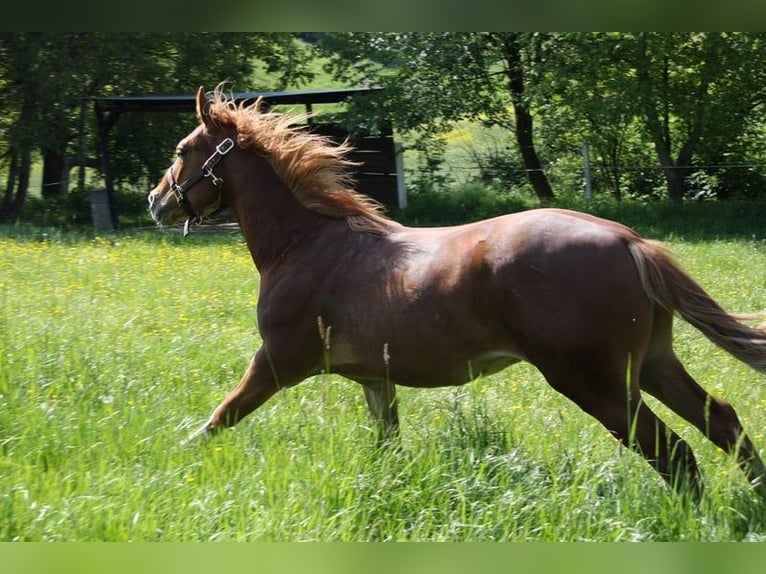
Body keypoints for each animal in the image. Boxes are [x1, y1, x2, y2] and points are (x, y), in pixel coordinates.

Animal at [148, 86, 766, 498]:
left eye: (181, 149)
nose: (157, 202)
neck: (306, 244)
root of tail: (630, 242)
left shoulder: (277, 362)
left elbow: (218, 420)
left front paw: (172, 465)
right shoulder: (376, 378)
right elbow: (388, 445)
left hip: (593, 380)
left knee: (674, 453)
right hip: (654, 361)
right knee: (721, 421)